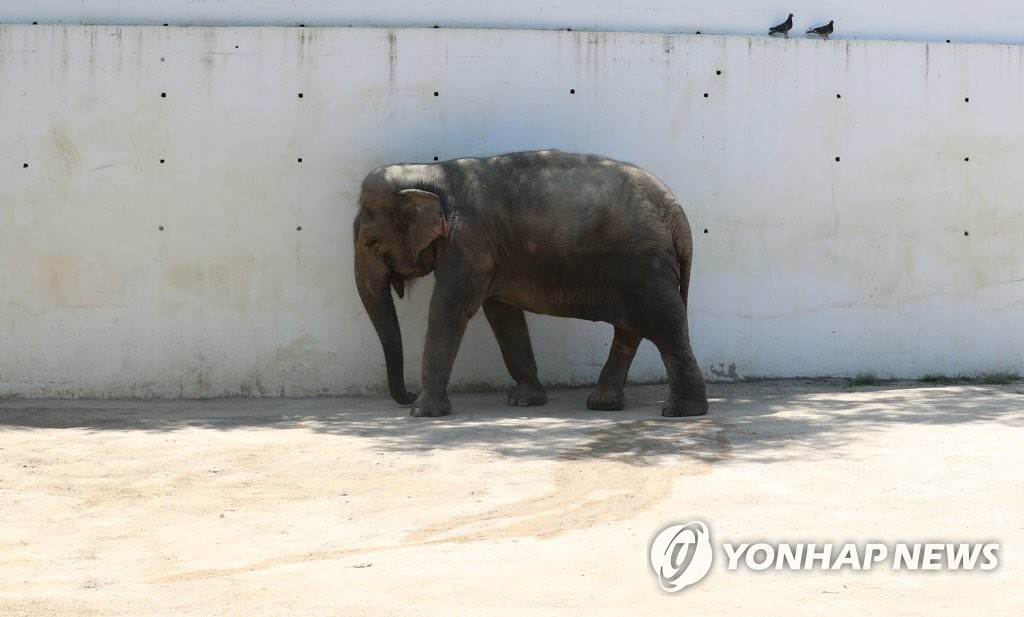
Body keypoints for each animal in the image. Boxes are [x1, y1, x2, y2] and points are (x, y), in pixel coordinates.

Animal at [350, 151, 704, 417]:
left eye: (371, 242)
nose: (408, 394)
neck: (430, 173)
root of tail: (678, 214)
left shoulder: (469, 242)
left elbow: (449, 309)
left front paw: (423, 412)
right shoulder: (490, 254)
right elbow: (502, 315)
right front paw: (524, 400)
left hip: (644, 265)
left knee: (665, 324)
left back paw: (680, 411)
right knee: (631, 328)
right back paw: (602, 404)